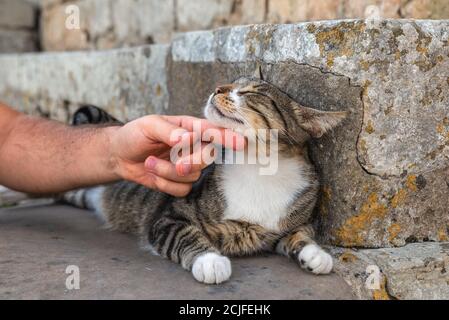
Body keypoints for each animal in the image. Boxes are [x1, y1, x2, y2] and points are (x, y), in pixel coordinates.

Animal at [62, 70, 346, 284]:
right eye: (231, 82)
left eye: (250, 92)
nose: (218, 88)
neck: (258, 167)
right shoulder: (168, 215)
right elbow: (185, 235)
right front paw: (210, 261)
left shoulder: (289, 222)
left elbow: (301, 233)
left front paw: (316, 254)